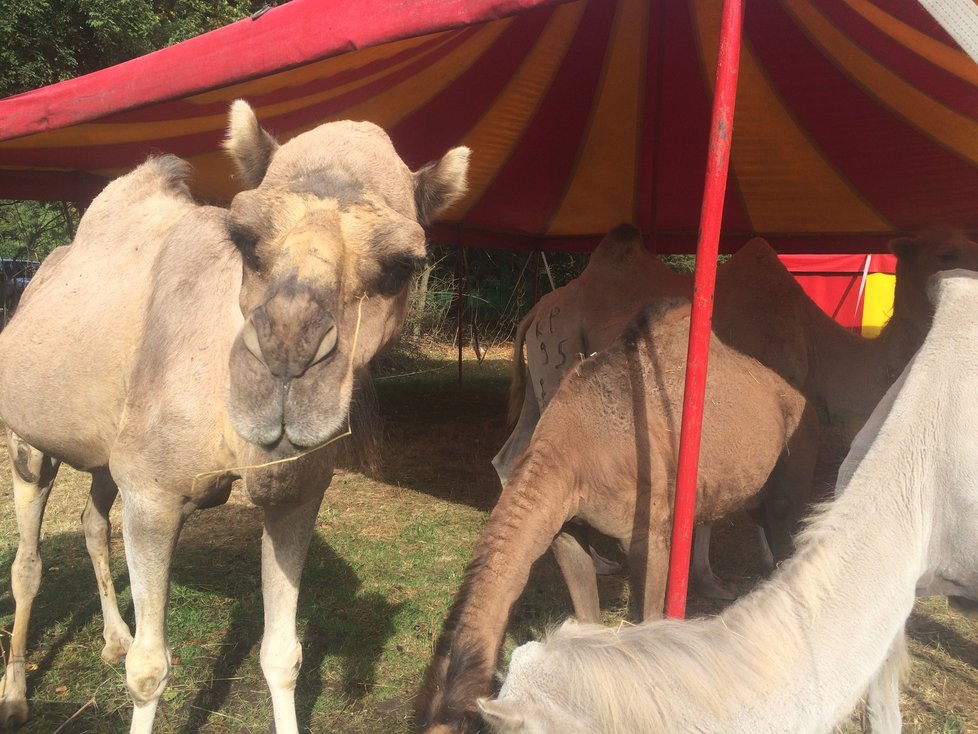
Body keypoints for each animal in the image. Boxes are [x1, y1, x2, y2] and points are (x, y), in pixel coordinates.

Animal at [0, 99, 468, 734]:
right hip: (27, 438)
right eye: (243, 238)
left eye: (403, 264)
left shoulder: (296, 495)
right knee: (29, 560)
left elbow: (283, 654)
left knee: (93, 519)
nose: (287, 358)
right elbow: (150, 668)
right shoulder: (152, 493)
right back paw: (16, 694)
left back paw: (112, 638)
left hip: (102, 448)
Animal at [416, 296, 812, 732]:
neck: (575, 448)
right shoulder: (565, 529)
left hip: (790, 458)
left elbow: (648, 616)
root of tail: (793, 392)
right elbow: (587, 610)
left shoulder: (644, 533)